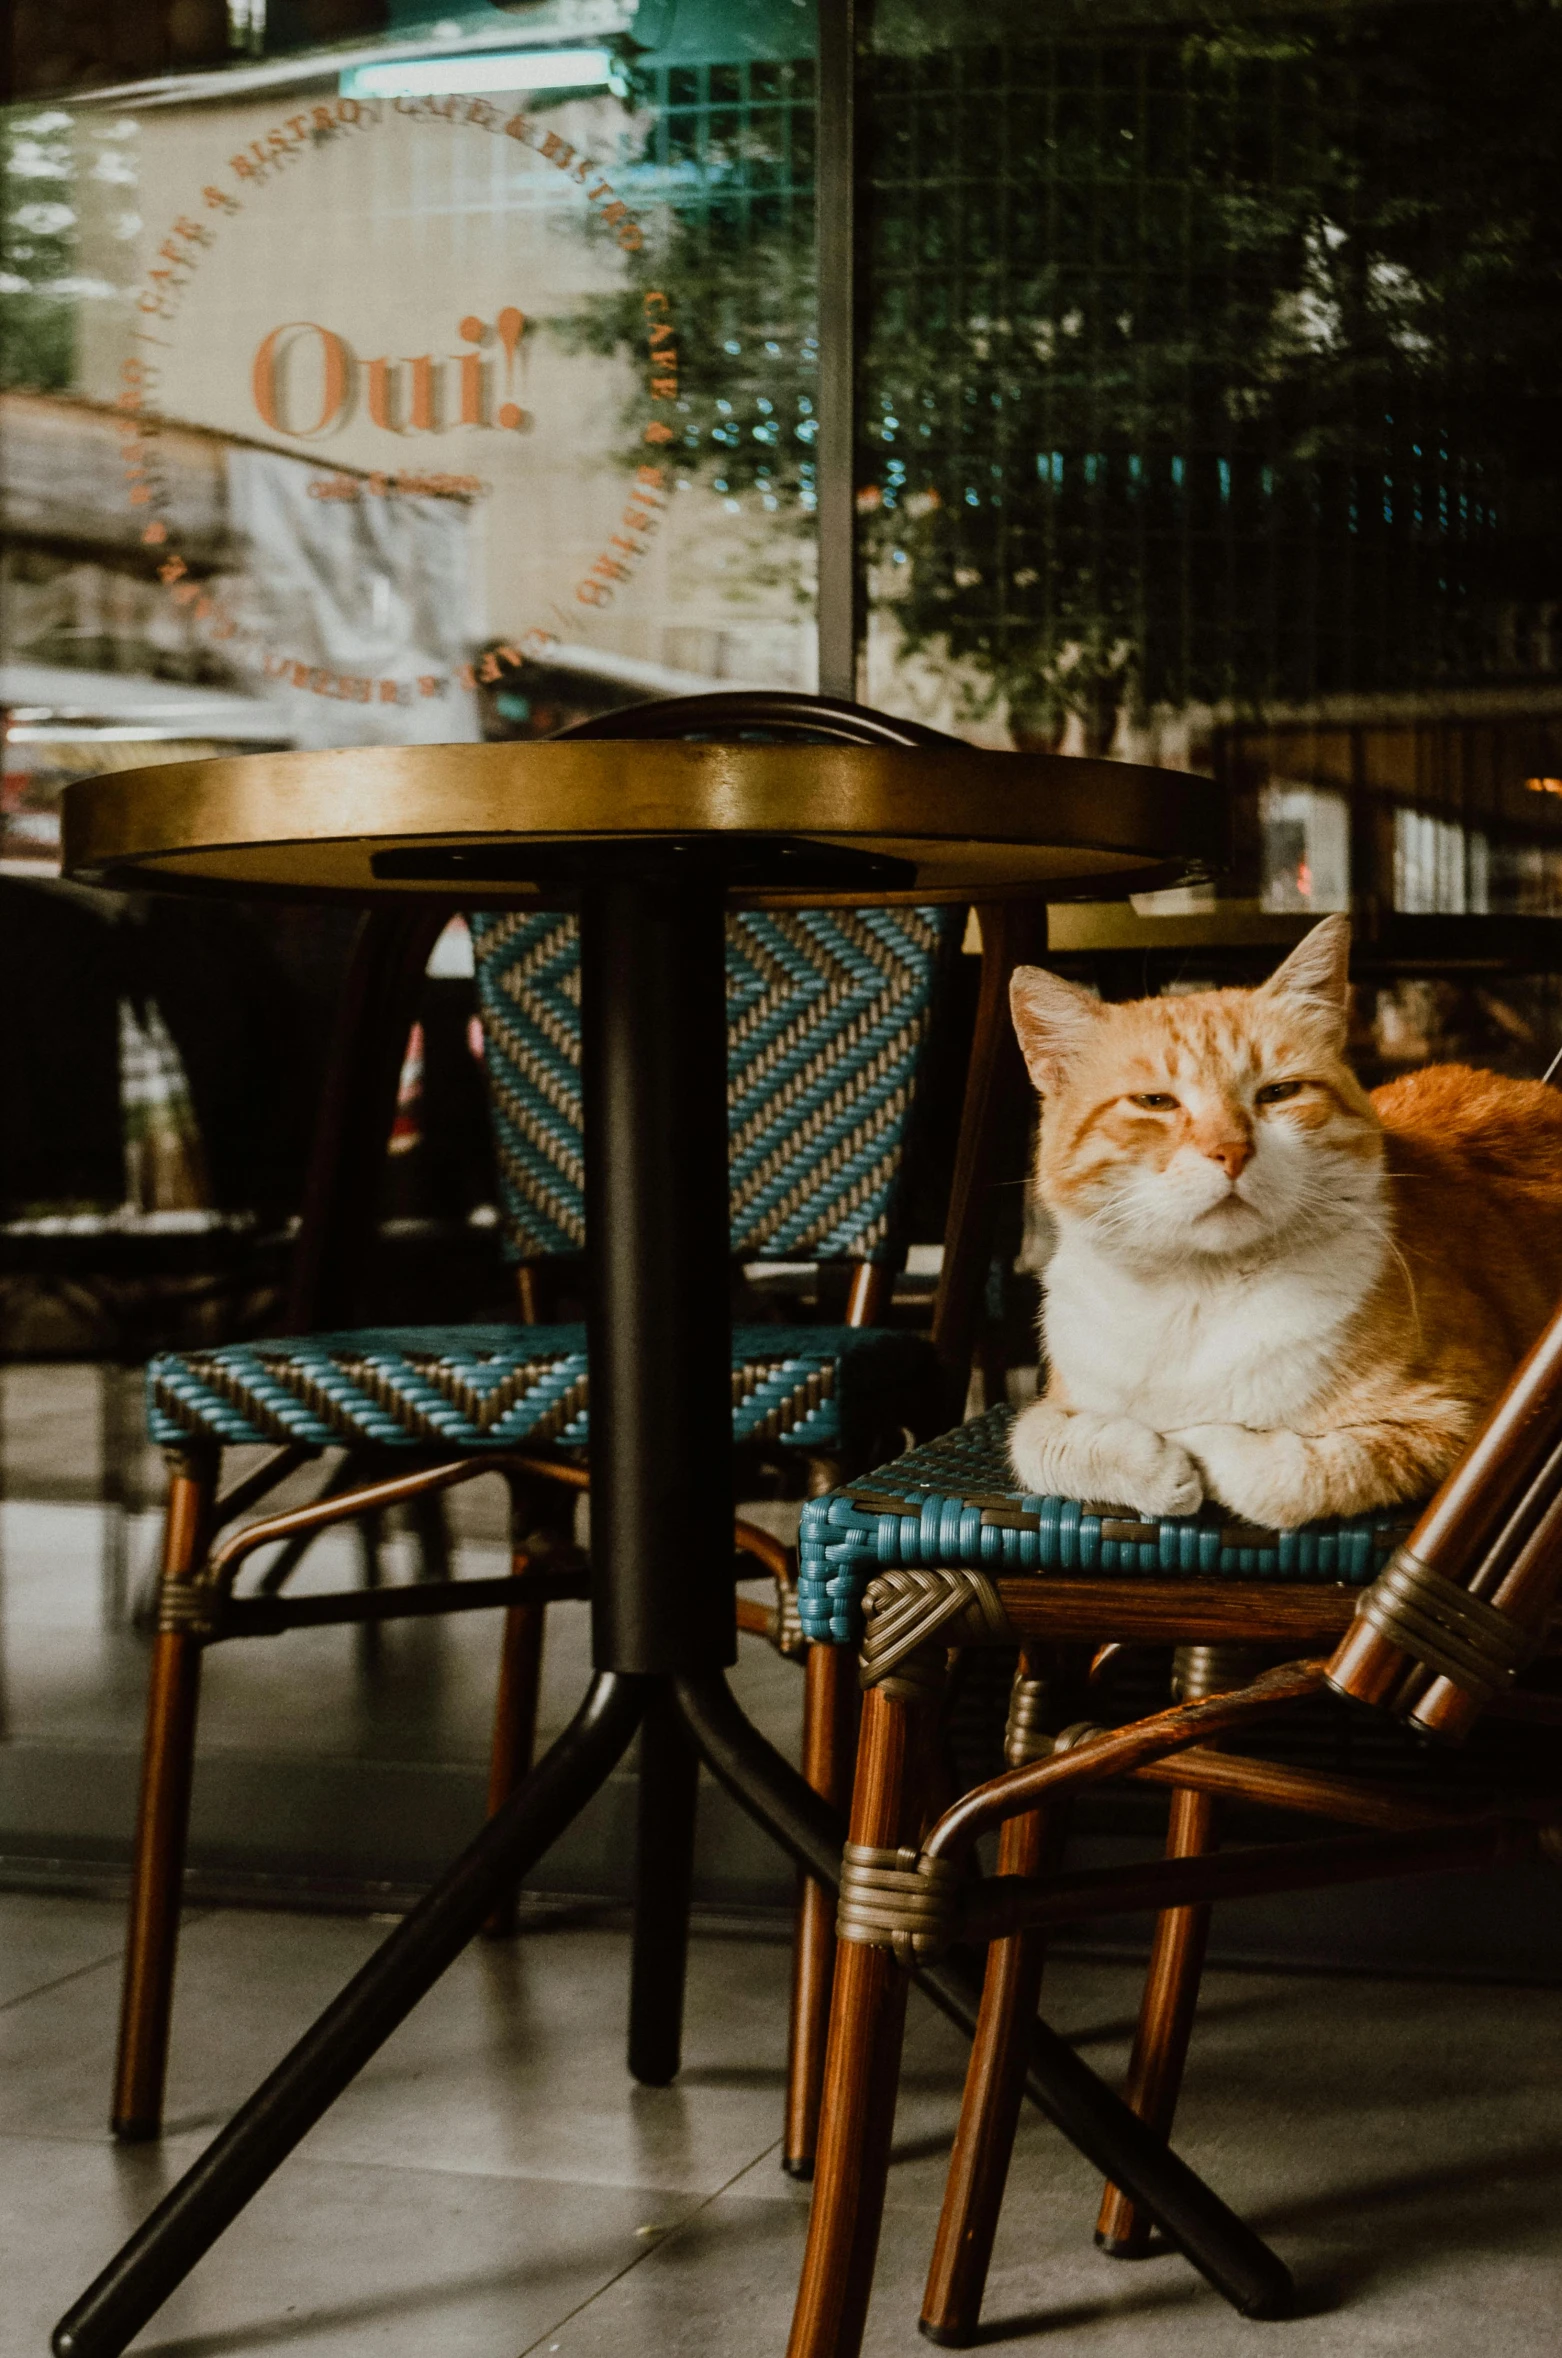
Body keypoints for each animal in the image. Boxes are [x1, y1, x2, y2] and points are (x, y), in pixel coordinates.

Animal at [1009, 919, 1562, 1527]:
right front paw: (1150, 1464)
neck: (1195, 1294)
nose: (1230, 1150)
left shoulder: (1460, 1421)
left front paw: (1190, 1441)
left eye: (1279, 1093)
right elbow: (1034, 1441)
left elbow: (1290, 1472)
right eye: (1155, 1102)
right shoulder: (1054, 1402)